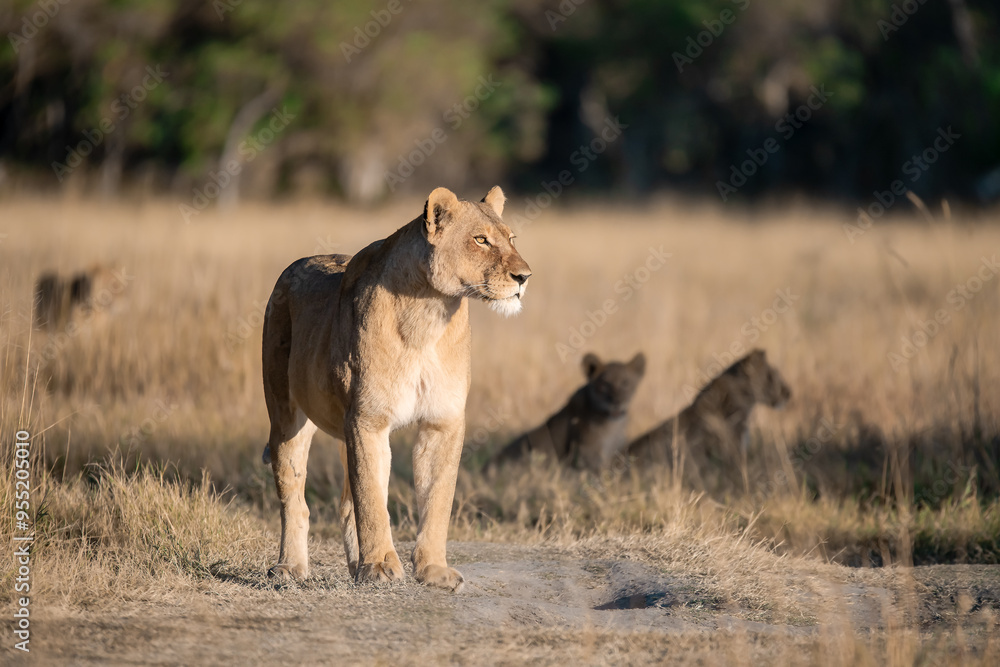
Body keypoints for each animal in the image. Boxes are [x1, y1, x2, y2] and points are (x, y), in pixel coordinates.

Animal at [260, 186, 530, 592]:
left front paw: (432, 570)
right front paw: (379, 567)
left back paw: (353, 566)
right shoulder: (367, 419)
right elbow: (372, 499)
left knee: (345, 503)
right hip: (288, 418)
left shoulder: (442, 421)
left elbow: (436, 500)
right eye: (480, 240)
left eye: (511, 239)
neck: (430, 314)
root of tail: (297, 264)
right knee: (294, 496)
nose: (524, 276)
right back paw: (290, 567)